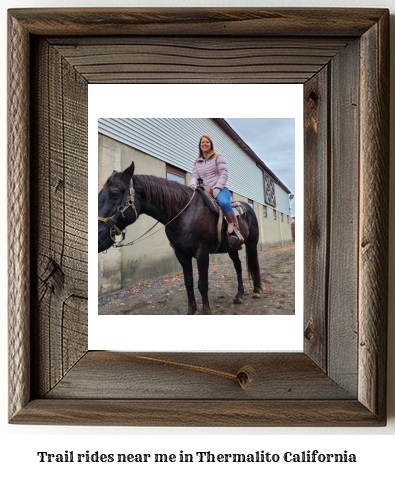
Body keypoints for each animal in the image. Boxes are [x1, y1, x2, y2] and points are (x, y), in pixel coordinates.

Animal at [99, 162, 262, 316]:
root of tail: (248, 207)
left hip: (252, 244)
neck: (185, 214)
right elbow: (188, 282)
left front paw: (206, 311)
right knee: (238, 266)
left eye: (114, 194)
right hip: (231, 247)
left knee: (253, 262)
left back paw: (256, 291)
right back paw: (239, 295)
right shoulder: (180, 253)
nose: (99, 235)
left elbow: (202, 283)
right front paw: (191, 310)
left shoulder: (202, 252)